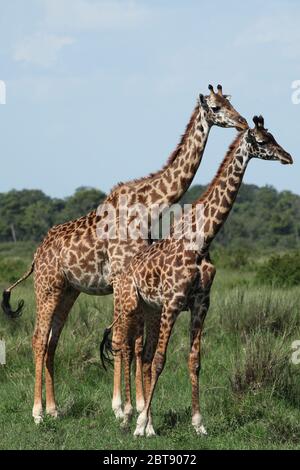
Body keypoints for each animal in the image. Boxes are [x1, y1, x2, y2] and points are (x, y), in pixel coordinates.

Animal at [1, 85, 247, 426]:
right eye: (215, 107)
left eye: (230, 102)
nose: (242, 122)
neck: (150, 205)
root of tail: (37, 255)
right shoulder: (120, 279)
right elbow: (121, 342)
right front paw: (123, 408)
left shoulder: (137, 284)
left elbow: (138, 343)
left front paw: (140, 407)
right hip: (47, 287)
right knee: (38, 338)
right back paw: (37, 412)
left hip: (69, 291)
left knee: (52, 341)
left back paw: (54, 409)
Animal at [101, 114, 292, 436]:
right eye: (262, 140)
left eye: (274, 136)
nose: (288, 157)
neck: (203, 240)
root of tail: (124, 271)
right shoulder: (173, 302)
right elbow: (161, 361)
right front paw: (140, 424)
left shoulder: (201, 304)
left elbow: (194, 361)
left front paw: (197, 423)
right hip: (129, 305)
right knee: (125, 348)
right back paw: (127, 415)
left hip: (150, 310)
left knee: (143, 353)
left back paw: (146, 421)